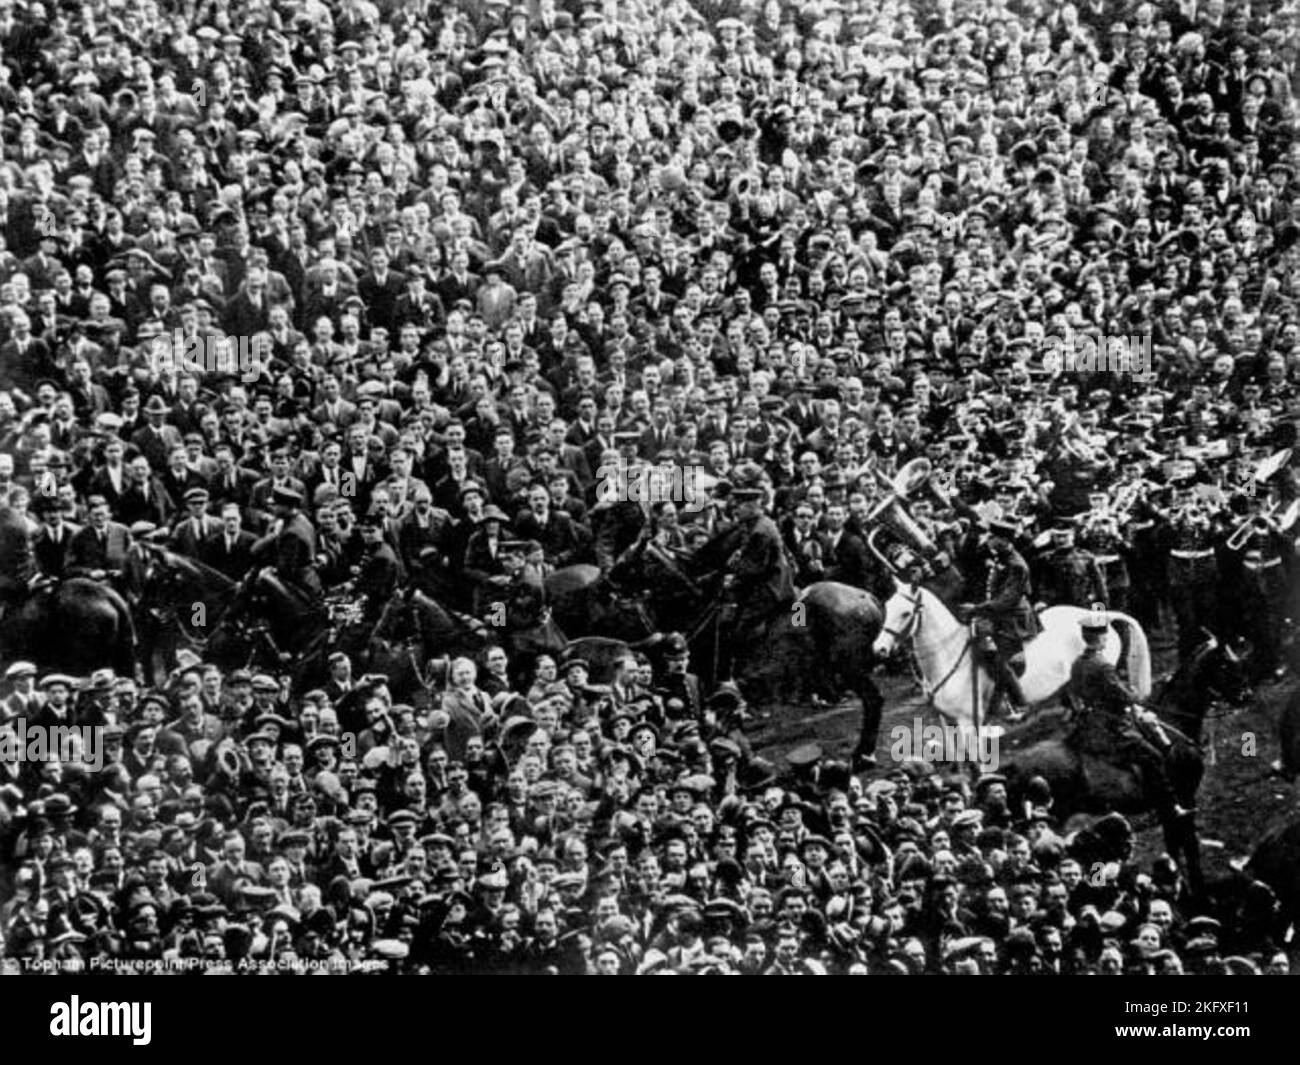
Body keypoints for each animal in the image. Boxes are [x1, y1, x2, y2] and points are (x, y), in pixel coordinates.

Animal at [868, 582, 1154, 733]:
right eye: (888, 607)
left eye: (905, 613)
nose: (878, 649)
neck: (948, 656)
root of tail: (1095, 616)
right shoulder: (949, 723)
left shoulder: (968, 722)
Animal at [1003, 637, 1248, 894]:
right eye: (1225, 665)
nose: (1246, 694)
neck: (1174, 734)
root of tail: (1013, 765)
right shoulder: (1184, 798)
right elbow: (1189, 844)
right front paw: (1198, 888)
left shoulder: (1166, 807)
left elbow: (1173, 845)